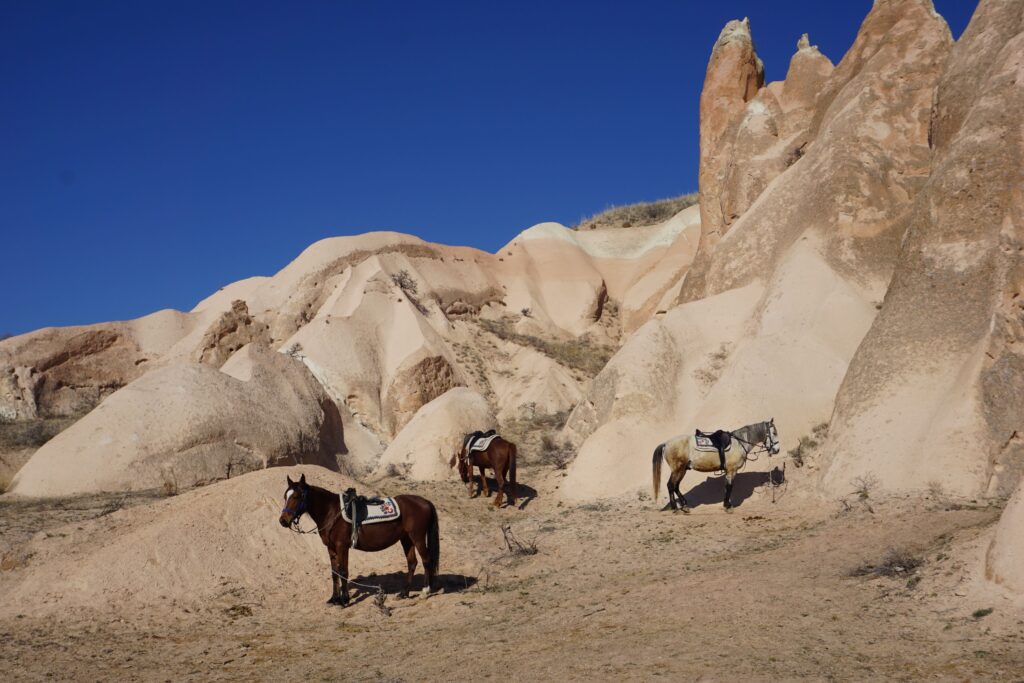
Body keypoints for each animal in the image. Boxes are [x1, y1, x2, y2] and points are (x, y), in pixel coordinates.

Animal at [280, 473, 440, 606]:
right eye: (285, 496)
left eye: (296, 496)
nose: (283, 521)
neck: (331, 511)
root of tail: (425, 502)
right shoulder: (331, 548)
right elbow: (334, 573)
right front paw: (334, 599)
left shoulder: (342, 547)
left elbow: (343, 571)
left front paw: (344, 600)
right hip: (406, 539)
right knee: (412, 562)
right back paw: (404, 593)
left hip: (417, 538)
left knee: (426, 560)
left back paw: (425, 592)